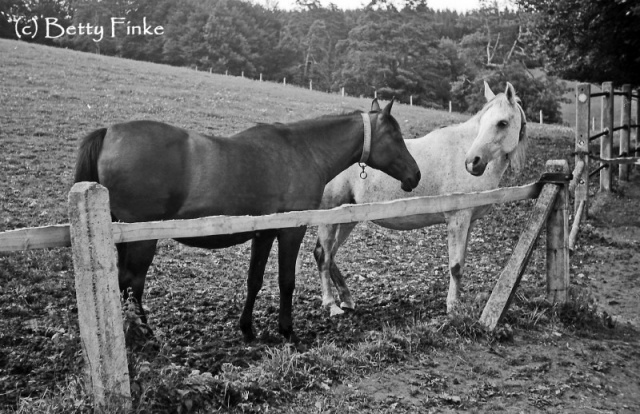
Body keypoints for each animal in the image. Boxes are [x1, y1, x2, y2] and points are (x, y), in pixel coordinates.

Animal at [74, 98, 420, 342]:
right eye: (395, 135)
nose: (415, 175)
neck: (303, 150)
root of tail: (109, 133)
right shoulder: (290, 231)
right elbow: (286, 281)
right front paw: (287, 331)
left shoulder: (263, 233)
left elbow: (255, 280)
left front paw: (248, 329)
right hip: (142, 240)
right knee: (133, 283)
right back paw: (144, 335)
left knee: (124, 284)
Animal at [312, 81, 528, 316]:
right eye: (485, 123)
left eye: (502, 123)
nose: (473, 162)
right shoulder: (458, 218)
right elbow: (455, 266)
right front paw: (452, 308)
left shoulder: (468, 222)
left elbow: (461, 263)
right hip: (329, 216)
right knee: (323, 255)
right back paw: (331, 305)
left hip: (346, 217)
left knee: (330, 255)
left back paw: (347, 300)